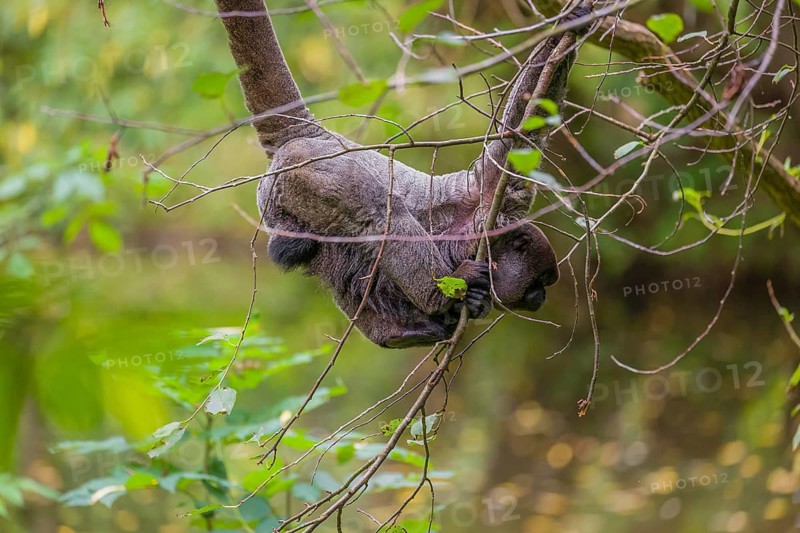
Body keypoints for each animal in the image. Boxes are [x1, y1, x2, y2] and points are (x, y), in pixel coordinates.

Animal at [213, 0, 588, 348]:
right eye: (539, 282)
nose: (541, 299)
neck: (475, 237)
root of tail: (316, 135)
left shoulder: (498, 199)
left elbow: (522, 136)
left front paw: (571, 23)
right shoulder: (489, 210)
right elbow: (515, 140)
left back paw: (401, 334)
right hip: (313, 168)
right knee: (380, 214)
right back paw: (432, 302)